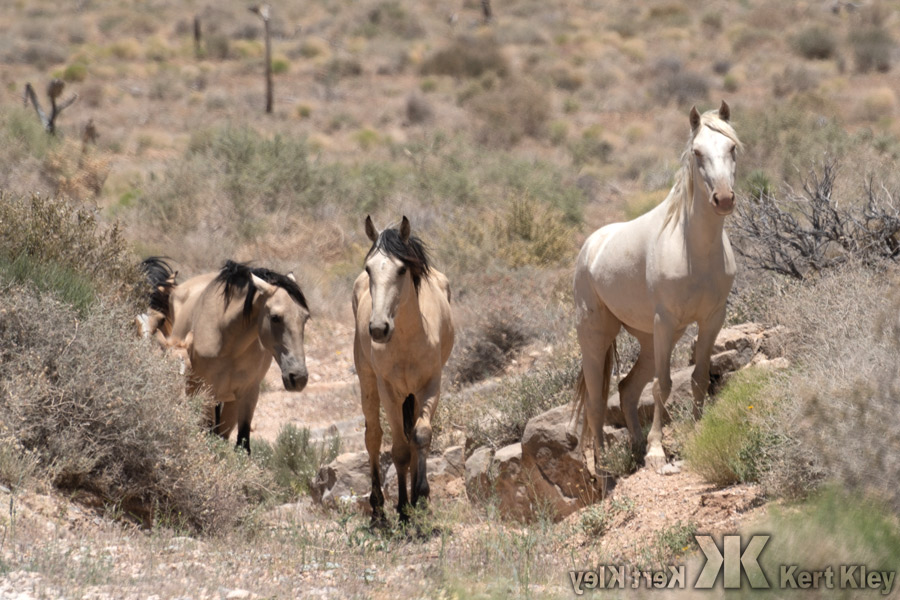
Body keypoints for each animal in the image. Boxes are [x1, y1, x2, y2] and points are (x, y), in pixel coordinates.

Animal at [139, 258, 311, 453]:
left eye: (305, 317)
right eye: (275, 317)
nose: (298, 378)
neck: (229, 341)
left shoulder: (248, 393)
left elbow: (242, 445)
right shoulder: (206, 390)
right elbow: (207, 436)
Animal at [352, 216, 454, 524]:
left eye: (401, 269)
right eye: (369, 268)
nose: (378, 329)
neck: (408, 338)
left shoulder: (430, 386)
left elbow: (420, 436)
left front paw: (421, 497)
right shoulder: (389, 391)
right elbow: (397, 450)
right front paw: (402, 508)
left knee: (409, 438)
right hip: (368, 382)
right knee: (373, 437)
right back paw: (378, 510)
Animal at [573, 101, 742, 484]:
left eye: (732, 148)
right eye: (697, 152)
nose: (723, 199)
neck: (692, 248)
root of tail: (590, 247)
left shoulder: (712, 318)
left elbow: (698, 378)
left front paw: (696, 432)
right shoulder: (665, 320)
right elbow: (662, 385)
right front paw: (656, 452)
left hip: (650, 339)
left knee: (626, 389)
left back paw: (634, 446)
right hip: (598, 336)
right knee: (595, 401)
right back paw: (603, 467)